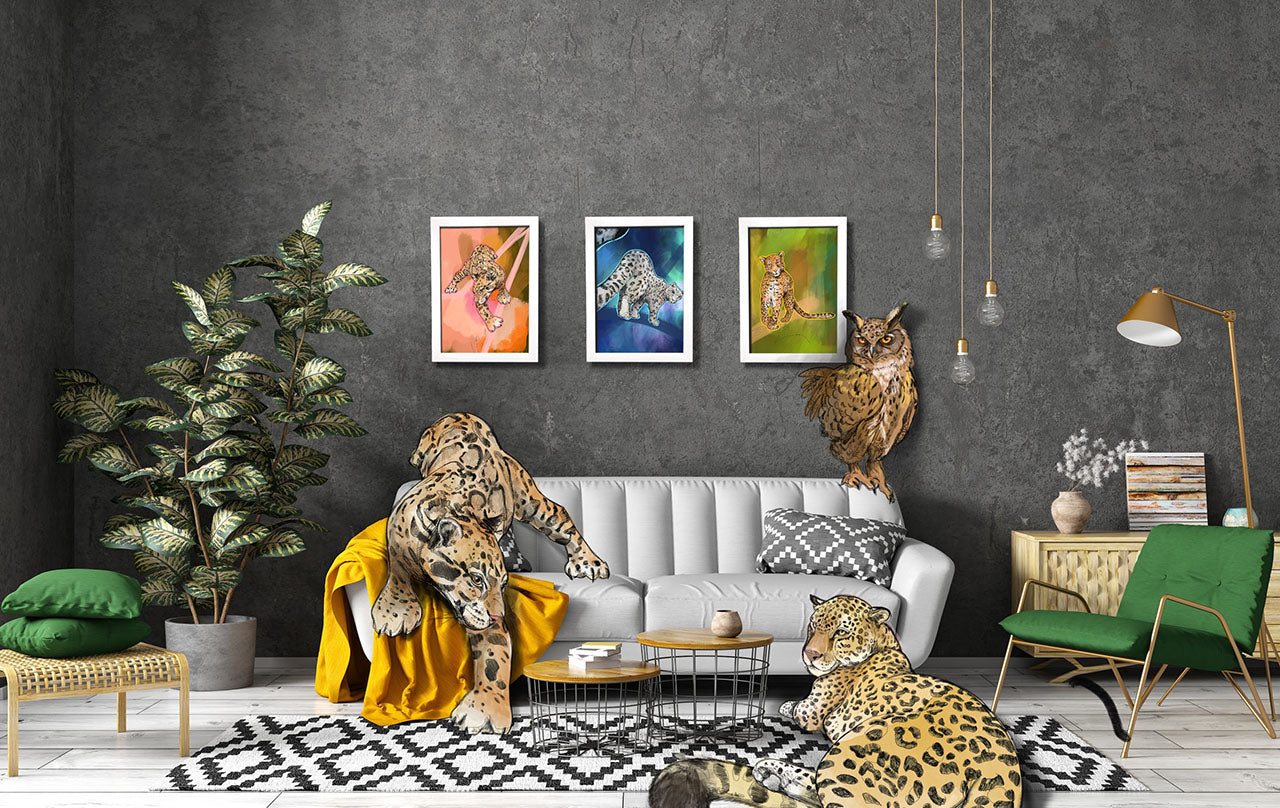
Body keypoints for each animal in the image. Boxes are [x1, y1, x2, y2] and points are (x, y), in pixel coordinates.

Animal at [370, 412, 610, 735]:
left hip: (528, 498)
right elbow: (397, 570)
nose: (498, 615)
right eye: (476, 579)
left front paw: (484, 712)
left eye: (504, 584)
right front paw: (395, 613)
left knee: (559, 514)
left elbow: (495, 656)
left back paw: (589, 563)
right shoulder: (397, 534)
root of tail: (465, 416)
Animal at [650, 595, 1021, 808]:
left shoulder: (813, 711)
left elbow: (795, 707)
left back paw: (772, 770)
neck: (887, 643)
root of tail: (1000, 767)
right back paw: (773, 773)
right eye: (812, 625)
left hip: (852, 752)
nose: (810, 654)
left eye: (841, 631)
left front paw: (784, 706)